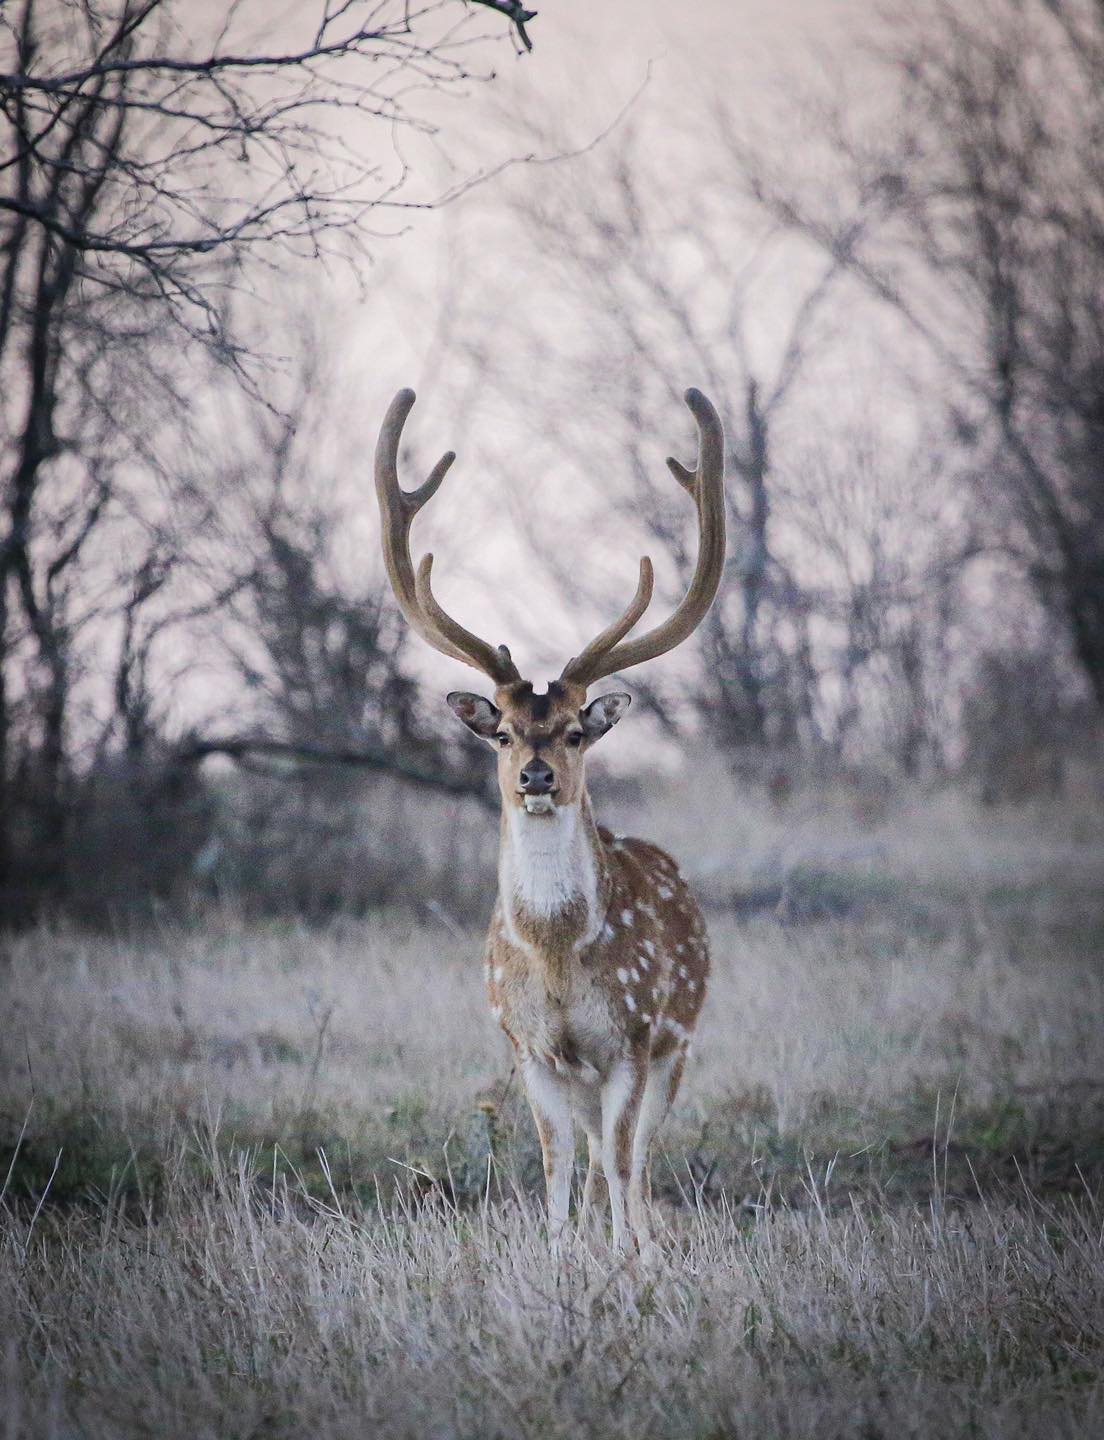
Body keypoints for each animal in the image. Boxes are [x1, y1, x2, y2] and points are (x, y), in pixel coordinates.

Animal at [374, 386, 725, 1258]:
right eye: (500, 731)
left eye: (574, 731)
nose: (536, 777)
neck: (560, 958)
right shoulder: (526, 1044)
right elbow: (557, 1159)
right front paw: (561, 1252)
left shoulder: (633, 1034)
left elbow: (623, 1160)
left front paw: (629, 1258)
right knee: (595, 1151)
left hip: (679, 1042)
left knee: (635, 1152)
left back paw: (641, 1239)